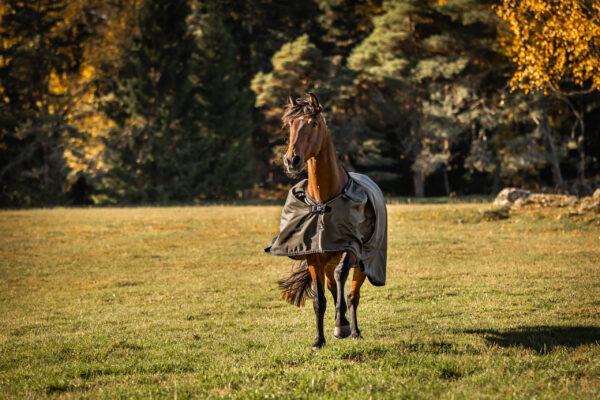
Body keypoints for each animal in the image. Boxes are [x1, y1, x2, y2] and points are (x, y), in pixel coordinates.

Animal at [264, 92, 386, 348]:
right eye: (290, 124)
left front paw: (341, 326)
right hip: (328, 263)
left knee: (352, 294)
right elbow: (320, 300)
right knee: (333, 289)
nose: (292, 160)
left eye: (313, 124)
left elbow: (342, 279)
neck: (322, 202)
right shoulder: (313, 257)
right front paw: (318, 340)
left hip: (365, 263)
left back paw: (354, 330)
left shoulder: (351, 249)